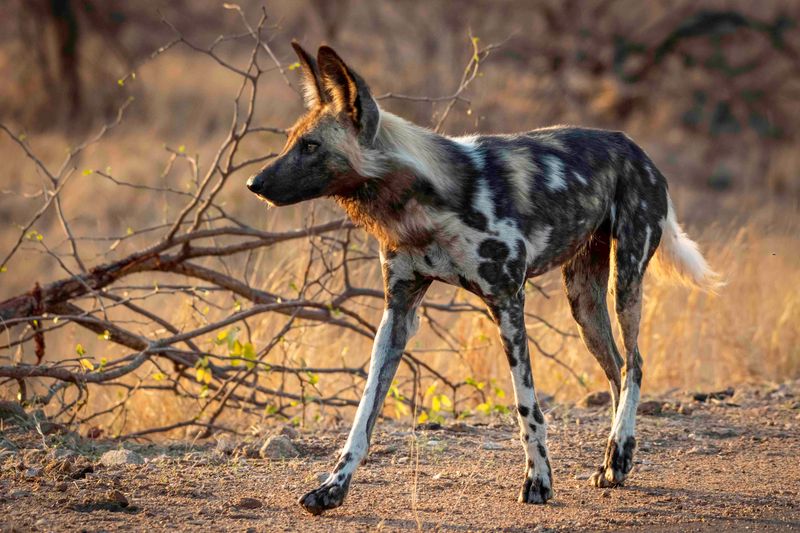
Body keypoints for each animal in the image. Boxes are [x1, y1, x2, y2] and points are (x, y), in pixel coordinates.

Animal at [245, 43, 720, 512]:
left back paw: (619, 454)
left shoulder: (507, 302)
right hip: (583, 302)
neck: (419, 205)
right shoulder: (398, 312)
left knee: (635, 364)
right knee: (618, 369)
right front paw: (333, 487)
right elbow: (364, 415)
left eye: (310, 146)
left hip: (625, 281)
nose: (253, 183)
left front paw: (538, 481)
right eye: (291, 141)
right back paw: (612, 464)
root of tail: (635, 146)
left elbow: (526, 405)